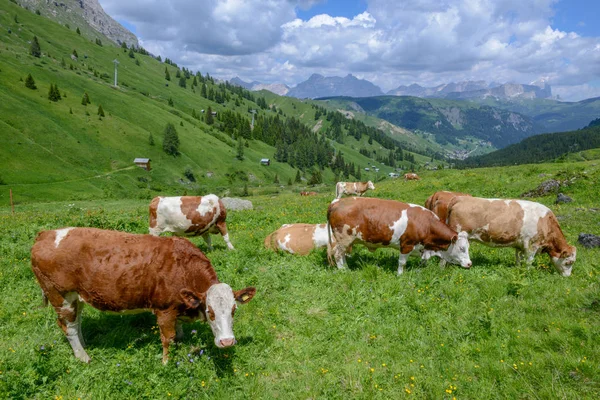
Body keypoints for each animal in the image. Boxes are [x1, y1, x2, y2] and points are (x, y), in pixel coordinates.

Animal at [30, 228, 255, 362]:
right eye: (210, 312)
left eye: (234, 310)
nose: (227, 342)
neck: (183, 266)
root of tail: (47, 233)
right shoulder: (164, 309)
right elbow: (167, 338)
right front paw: (166, 362)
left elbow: (178, 332)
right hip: (60, 296)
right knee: (68, 327)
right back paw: (83, 356)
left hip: (77, 297)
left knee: (76, 323)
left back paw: (85, 346)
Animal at [326, 198, 472, 276]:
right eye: (462, 248)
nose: (470, 263)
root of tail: (337, 201)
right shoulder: (406, 244)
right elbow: (402, 262)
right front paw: (400, 275)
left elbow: (422, 262)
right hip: (344, 239)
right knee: (338, 254)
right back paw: (343, 270)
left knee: (342, 254)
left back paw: (346, 267)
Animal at [446, 196, 576, 276]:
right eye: (568, 262)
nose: (567, 276)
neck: (545, 221)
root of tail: (460, 198)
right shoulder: (532, 245)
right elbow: (529, 261)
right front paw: (528, 273)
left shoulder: (520, 245)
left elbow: (518, 258)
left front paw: (518, 269)